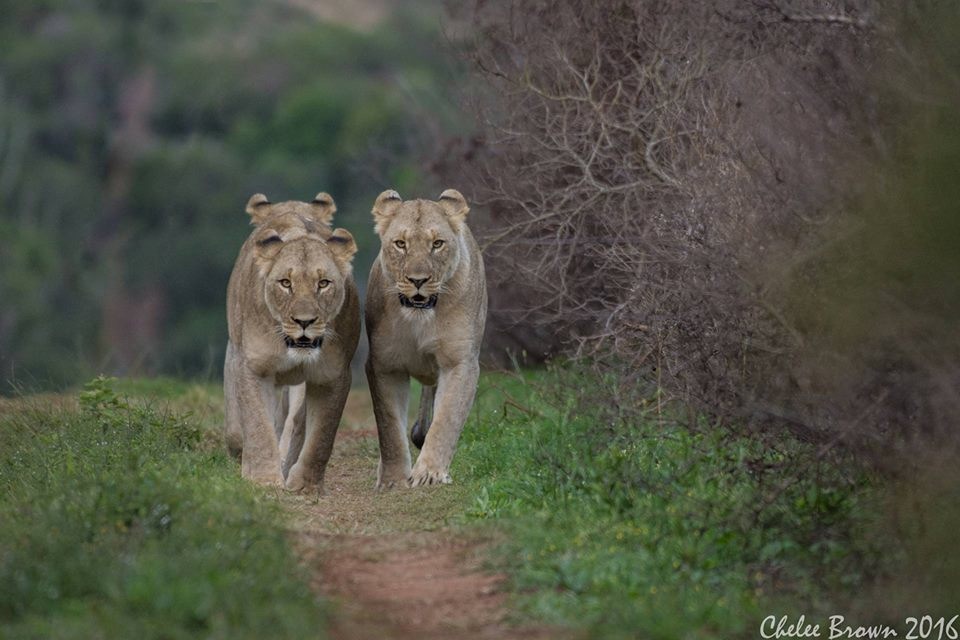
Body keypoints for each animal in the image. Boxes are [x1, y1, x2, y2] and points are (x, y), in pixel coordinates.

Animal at [224, 192, 360, 492]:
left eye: (324, 283)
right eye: (285, 283)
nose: (304, 321)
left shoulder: (333, 375)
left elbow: (321, 436)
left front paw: (305, 485)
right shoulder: (250, 364)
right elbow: (257, 425)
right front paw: (262, 478)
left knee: (295, 423)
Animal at [364, 189, 487, 488]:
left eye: (437, 244)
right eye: (400, 244)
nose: (417, 280)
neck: (419, 320)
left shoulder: (460, 362)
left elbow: (447, 419)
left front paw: (429, 473)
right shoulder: (383, 365)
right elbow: (388, 427)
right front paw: (394, 479)